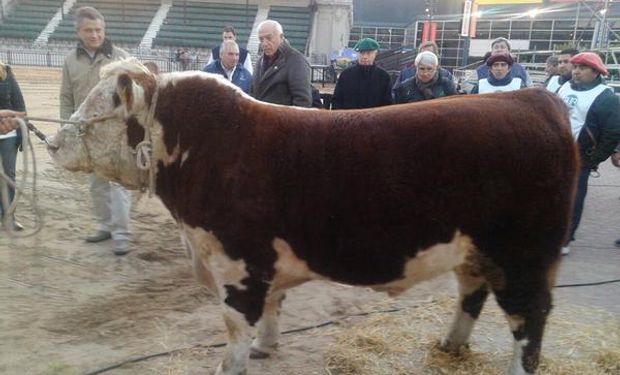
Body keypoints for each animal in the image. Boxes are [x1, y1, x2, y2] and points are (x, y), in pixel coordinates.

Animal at [47, 60, 576, 374]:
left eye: (102, 105)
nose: (52, 142)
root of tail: (532, 98)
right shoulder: (263, 264)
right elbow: (272, 309)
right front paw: (266, 347)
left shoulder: (236, 264)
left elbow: (235, 326)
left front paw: (234, 362)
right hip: (478, 250)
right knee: (472, 292)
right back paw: (450, 344)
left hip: (524, 255)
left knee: (530, 319)